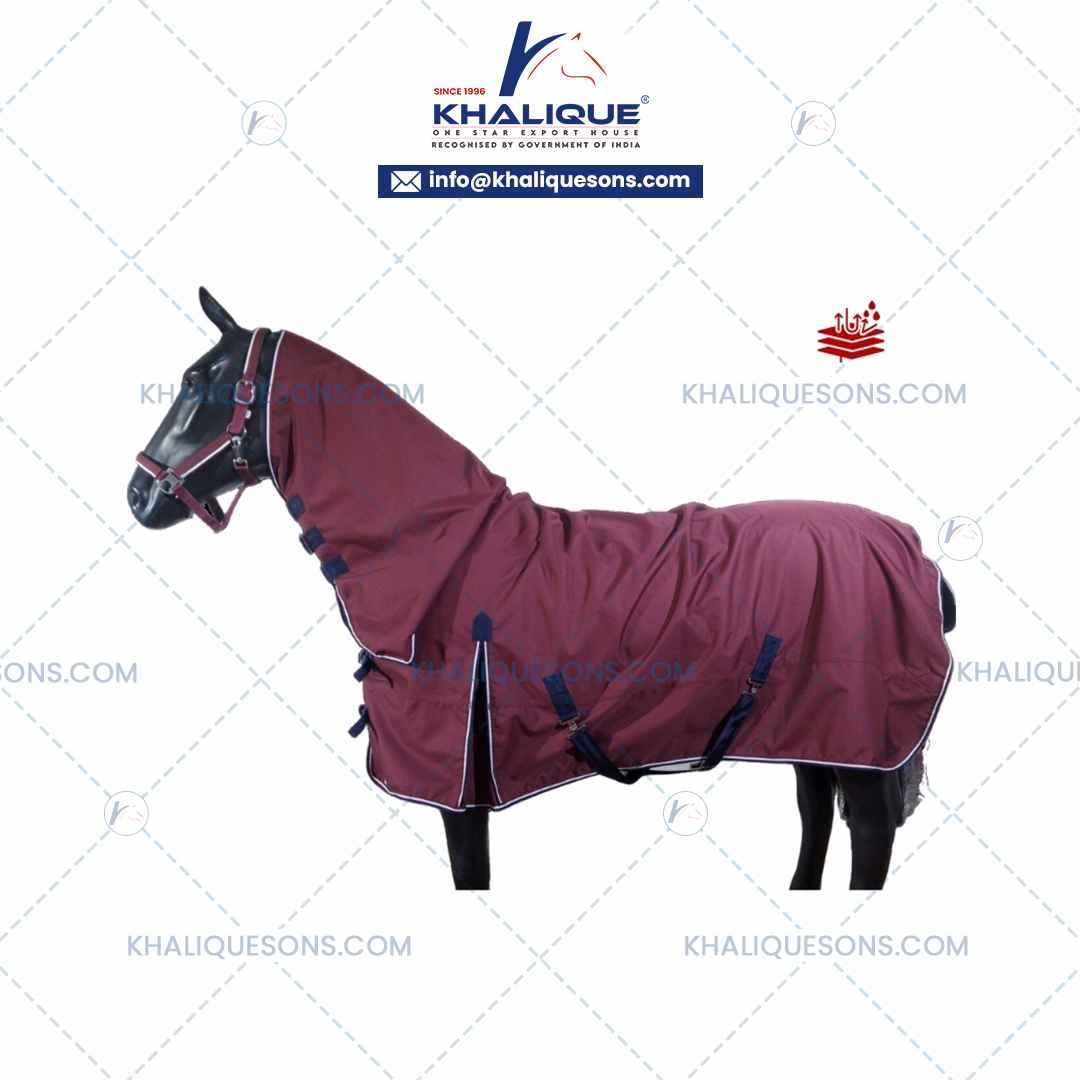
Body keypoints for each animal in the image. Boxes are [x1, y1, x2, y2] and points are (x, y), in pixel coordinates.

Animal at [128, 289, 956, 891]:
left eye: (202, 384)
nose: (139, 496)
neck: (442, 548)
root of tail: (912, 548)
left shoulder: (459, 787)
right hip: (815, 730)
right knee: (816, 817)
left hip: (865, 741)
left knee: (867, 843)